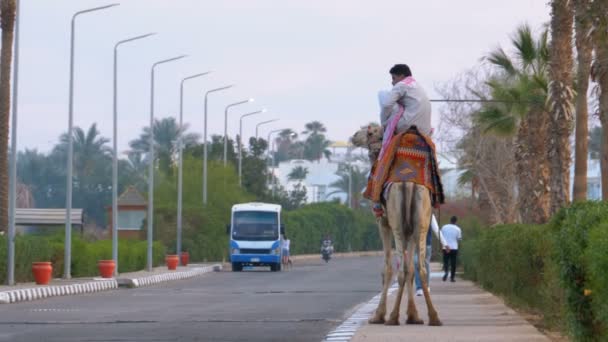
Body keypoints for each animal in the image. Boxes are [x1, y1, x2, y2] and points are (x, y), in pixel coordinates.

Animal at [352, 125, 442, 326]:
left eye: (368, 131)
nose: (353, 136)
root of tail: (409, 183)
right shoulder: (410, 230)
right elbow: (411, 269)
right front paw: (413, 315)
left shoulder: (383, 223)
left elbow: (387, 268)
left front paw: (378, 315)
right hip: (420, 223)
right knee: (419, 268)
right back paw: (433, 317)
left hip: (397, 224)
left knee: (401, 270)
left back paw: (392, 317)